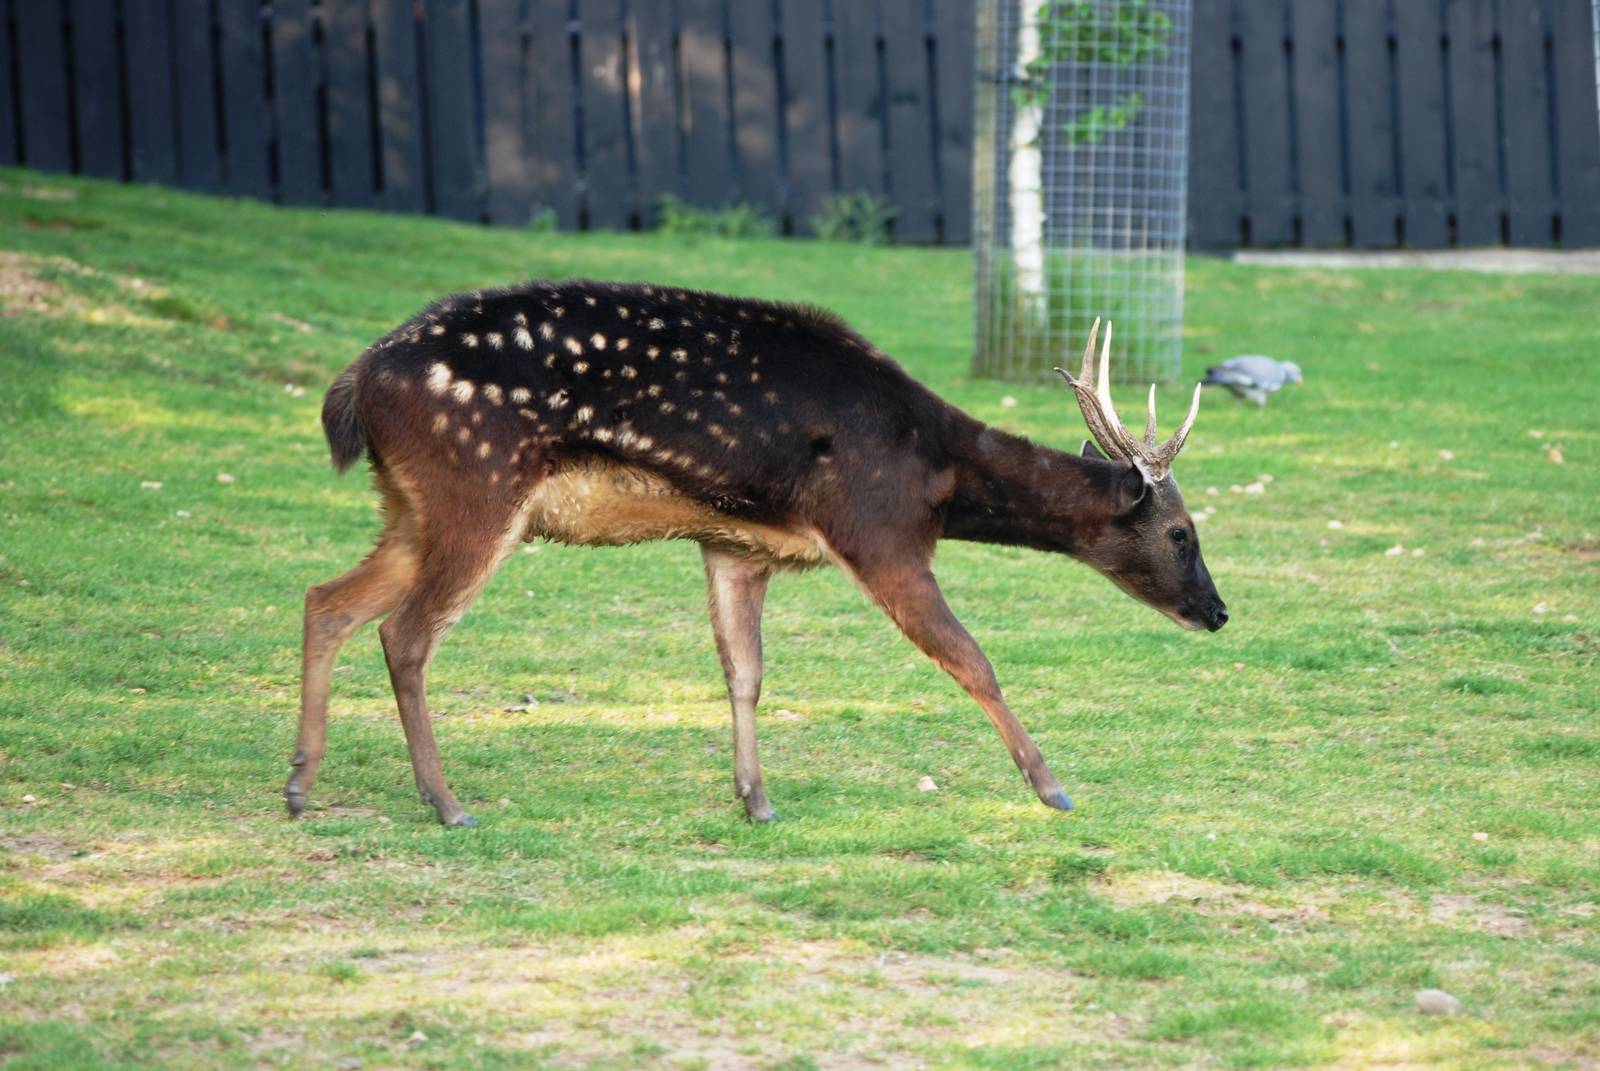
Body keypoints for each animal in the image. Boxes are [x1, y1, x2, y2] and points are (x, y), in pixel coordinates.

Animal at [286, 280, 1227, 827]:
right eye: (1182, 532)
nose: (1218, 611)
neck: (935, 471)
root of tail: (355, 384)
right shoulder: (876, 530)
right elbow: (971, 658)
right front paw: (1050, 785)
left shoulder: (735, 543)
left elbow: (744, 671)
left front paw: (756, 799)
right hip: (475, 487)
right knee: (405, 633)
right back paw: (446, 804)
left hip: (410, 507)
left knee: (326, 597)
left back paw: (300, 782)